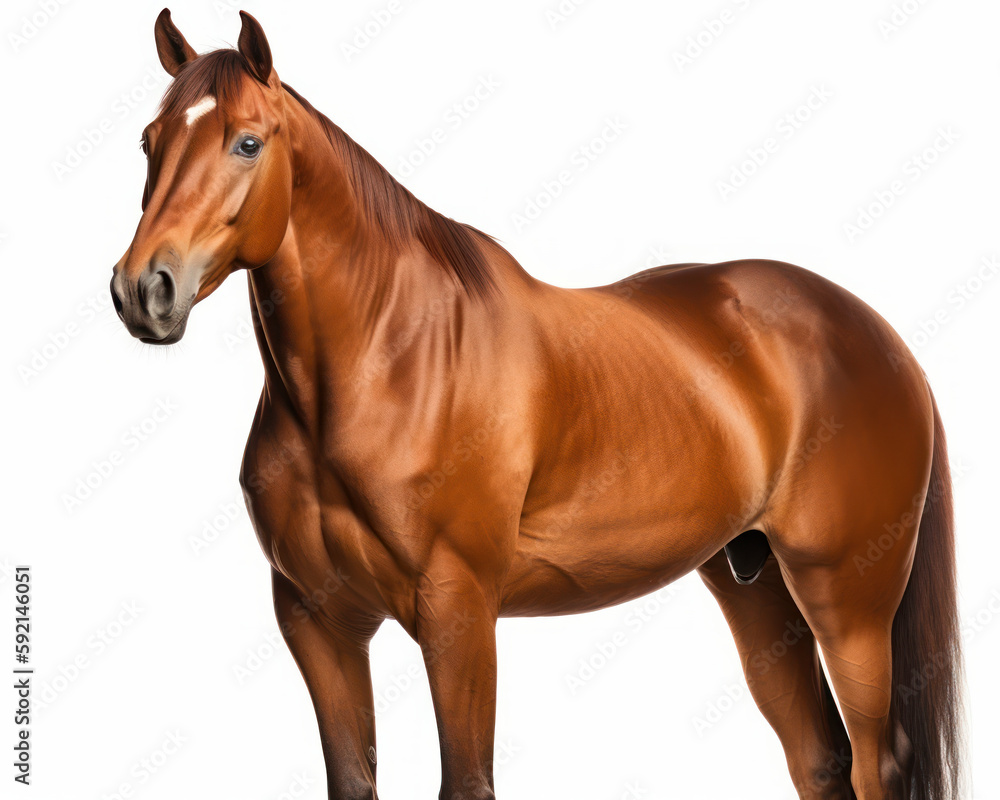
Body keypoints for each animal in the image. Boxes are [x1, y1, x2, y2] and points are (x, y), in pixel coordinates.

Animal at [110, 10, 964, 800]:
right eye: (151, 141)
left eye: (248, 143)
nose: (144, 289)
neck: (387, 365)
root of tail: (879, 335)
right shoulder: (317, 622)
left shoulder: (457, 614)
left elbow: (467, 781)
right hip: (756, 591)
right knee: (820, 761)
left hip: (848, 602)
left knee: (873, 763)